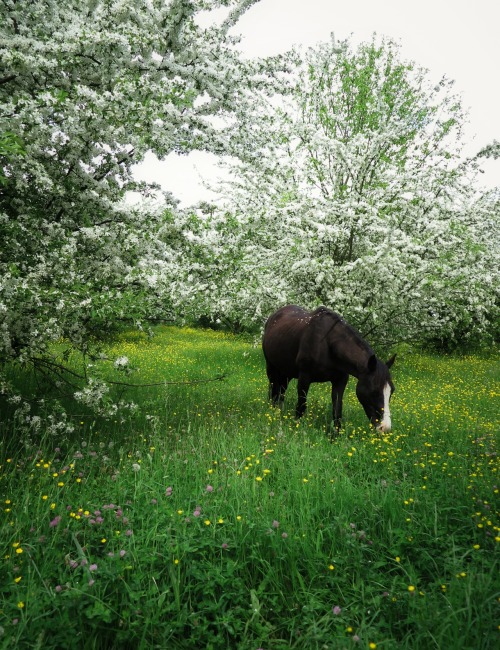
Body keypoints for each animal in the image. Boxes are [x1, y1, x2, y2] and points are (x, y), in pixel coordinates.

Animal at [264, 304, 396, 430]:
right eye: (374, 391)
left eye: (392, 390)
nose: (385, 428)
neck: (327, 343)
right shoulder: (304, 377)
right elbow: (301, 405)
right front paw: (296, 427)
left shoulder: (340, 381)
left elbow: (337, 409)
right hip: (271, 369)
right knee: (273, 390)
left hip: (286, 372)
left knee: (281, 392)